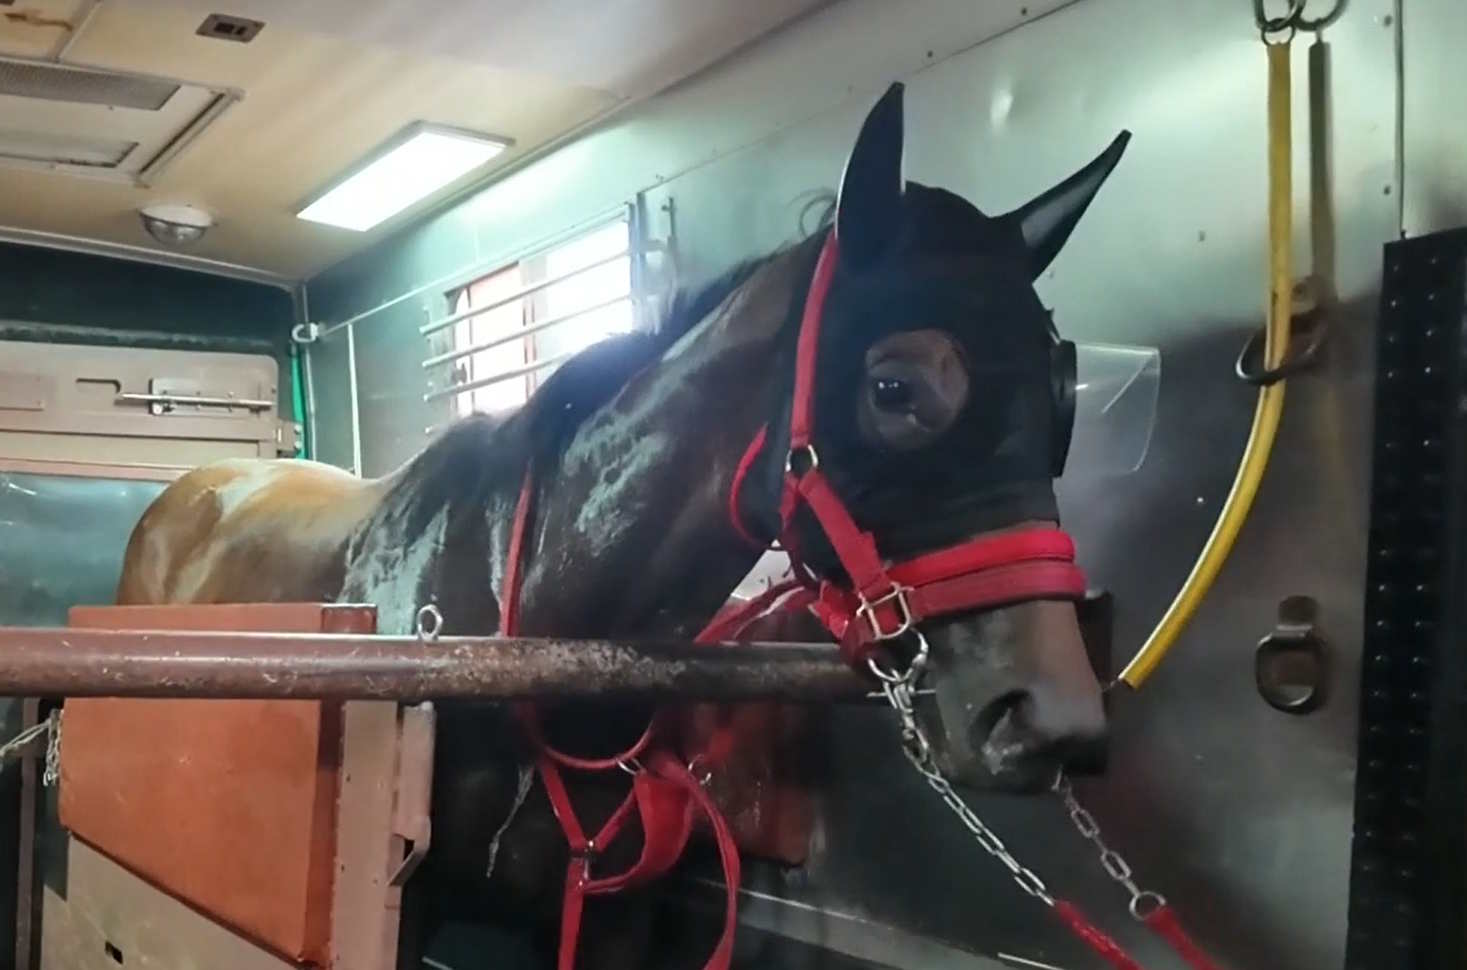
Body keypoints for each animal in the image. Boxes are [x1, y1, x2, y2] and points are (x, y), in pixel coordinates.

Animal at [114, 82, 1128, 968]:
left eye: (1062, 393)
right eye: (893, 387)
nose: (1049, 718)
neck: (525, 626)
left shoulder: (610, 917)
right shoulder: (402, 911)